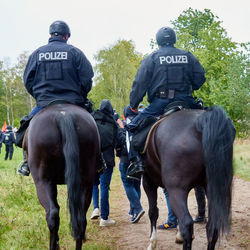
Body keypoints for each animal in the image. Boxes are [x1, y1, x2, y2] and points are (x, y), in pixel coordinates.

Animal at [144, 106, 235, 250]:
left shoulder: (148, 182)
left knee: (187, 223)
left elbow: (153, 211)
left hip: (176, 190)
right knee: (212, 227)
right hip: (211, 190)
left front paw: (152, 242)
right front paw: (178, 235)